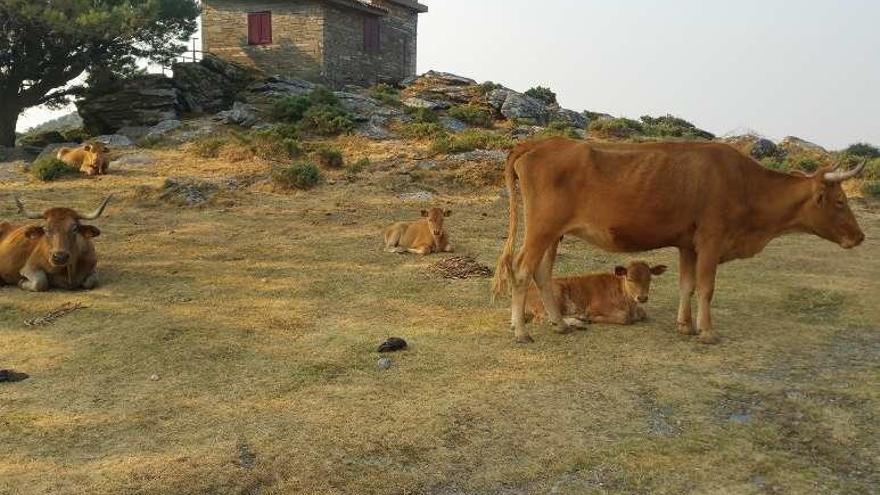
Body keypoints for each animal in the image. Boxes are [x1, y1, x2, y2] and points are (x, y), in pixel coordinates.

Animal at [524, 262, 668, 328]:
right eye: (630, 279)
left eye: (649, 279)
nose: (642, 297)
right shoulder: (595, 306)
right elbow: (625, 318)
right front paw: (590, 318)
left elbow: (643, 313)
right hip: (553, 296)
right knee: (543, 318)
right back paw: (579, 320)